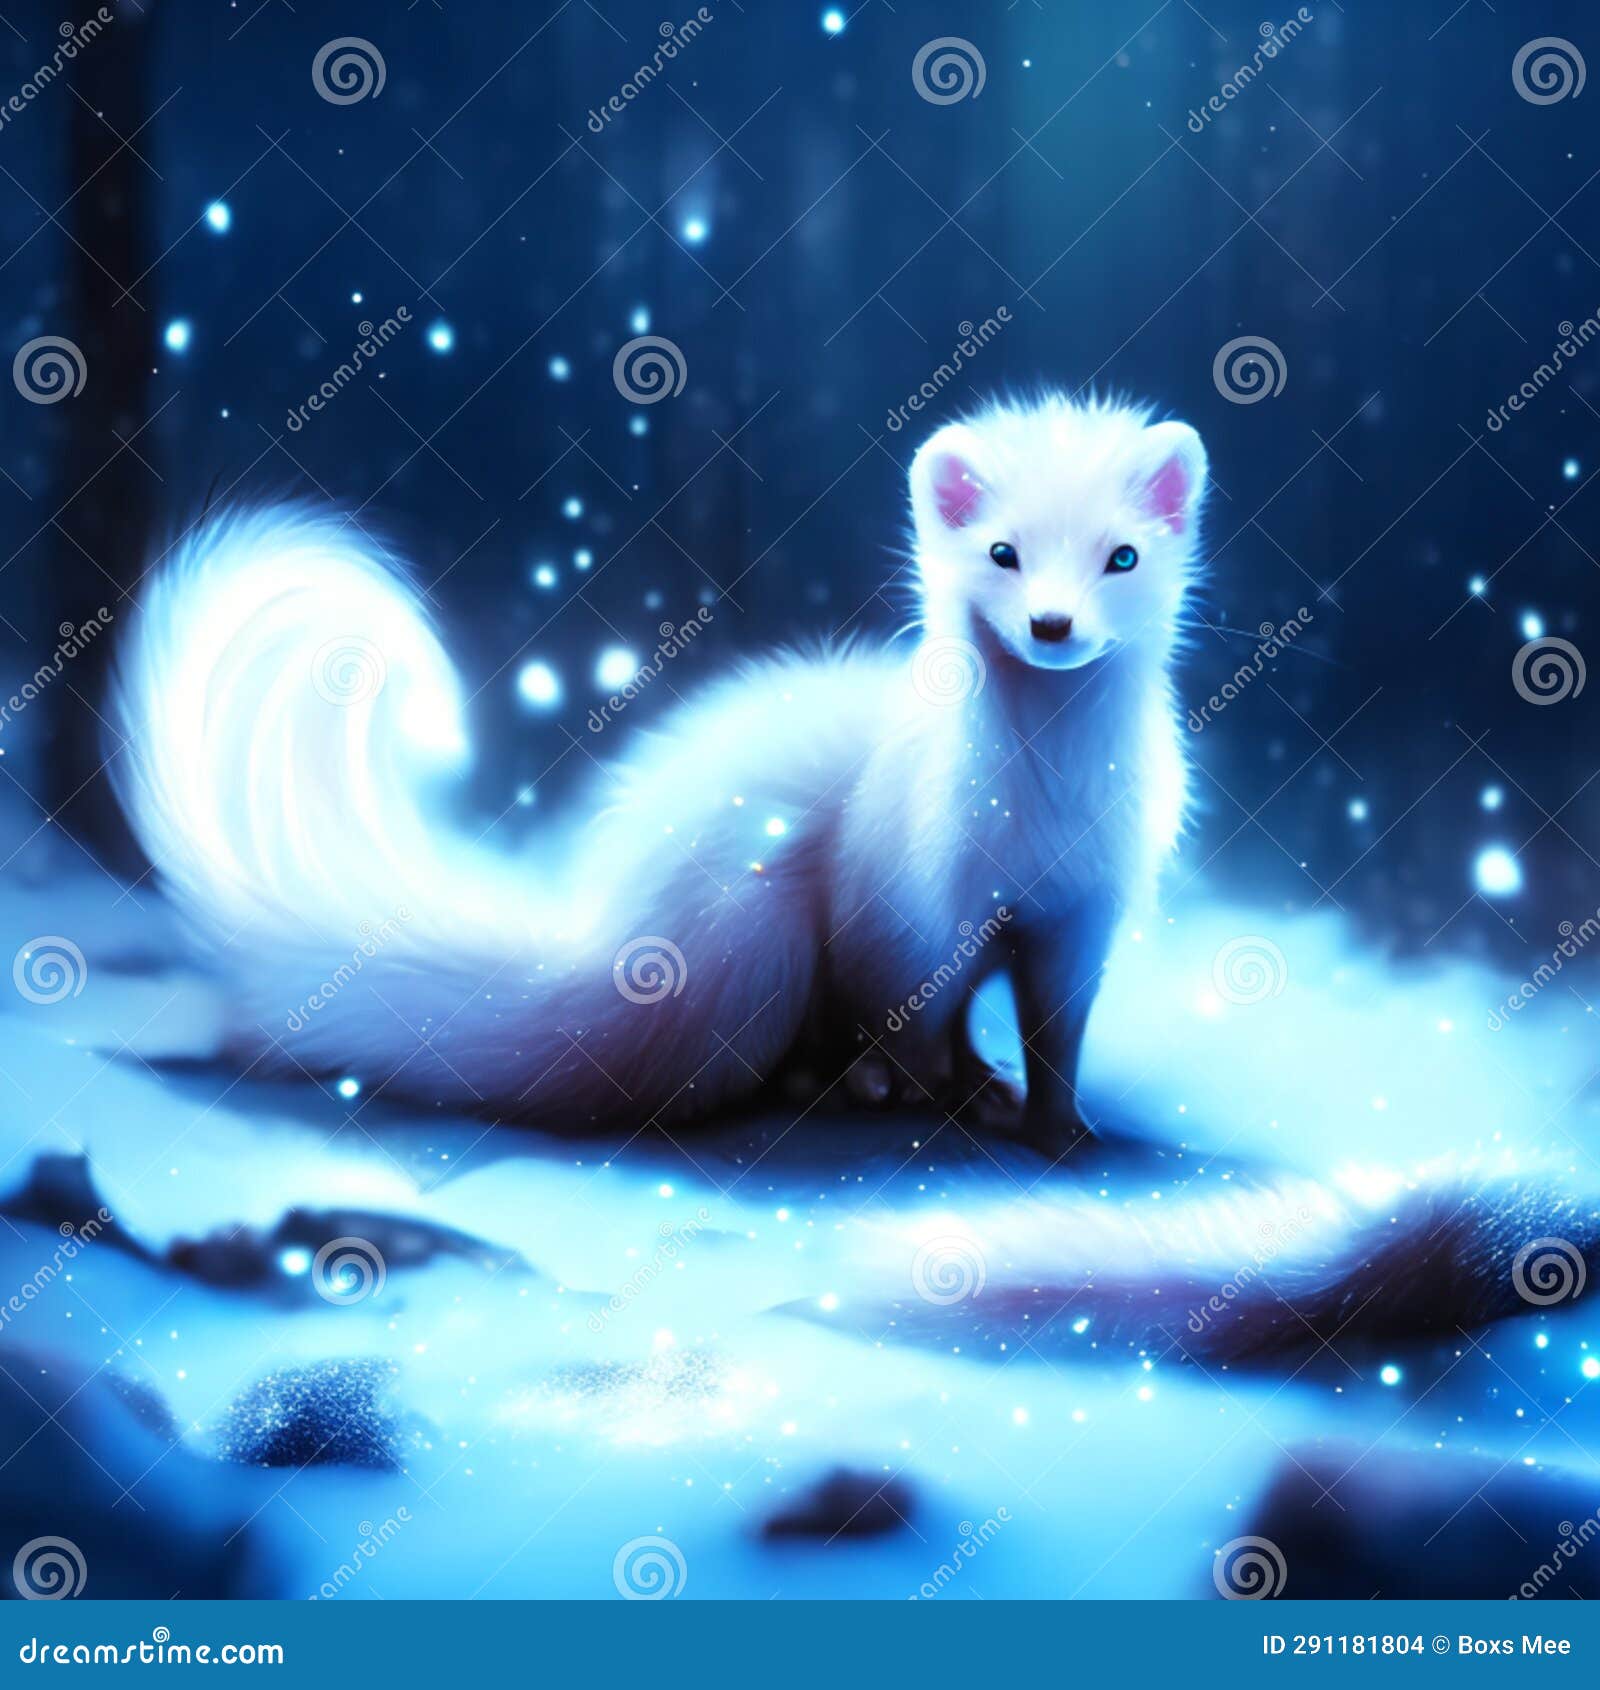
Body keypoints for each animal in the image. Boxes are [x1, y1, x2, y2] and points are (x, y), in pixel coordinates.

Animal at [111, 395, 1202, 1159]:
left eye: (1121, 556)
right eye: (1003, 551)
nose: (1052, 623)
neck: (1044, 808)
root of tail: (614, 926)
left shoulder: (1086, 909)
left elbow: (1057, 1028)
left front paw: (1055, 1122)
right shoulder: (909, 903)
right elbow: (910, 1014)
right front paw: (938, 1095)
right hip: (753, 939)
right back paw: (837, 1081)